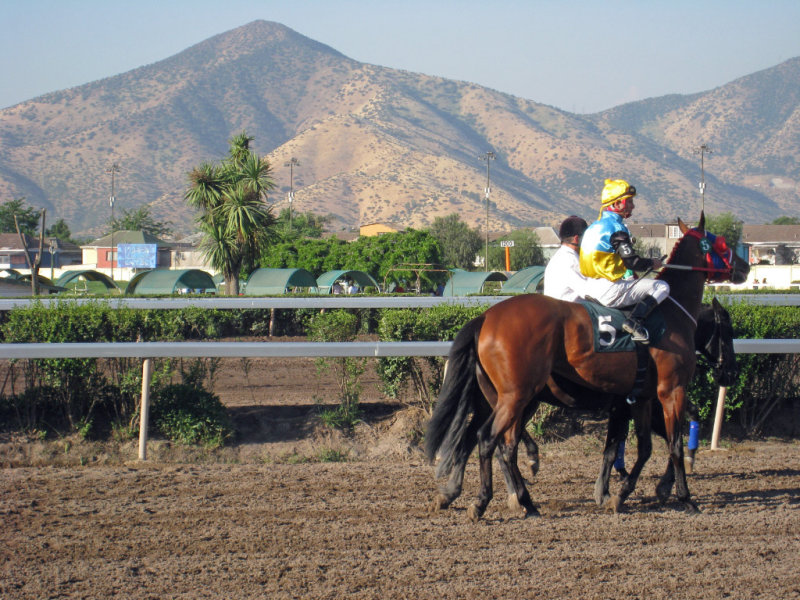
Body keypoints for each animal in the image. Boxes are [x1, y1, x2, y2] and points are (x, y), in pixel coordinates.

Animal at [428, 216, 748, 520]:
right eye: (721, 244)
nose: (744, 266)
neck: (671, 315)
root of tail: (486, 317)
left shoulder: (639, 399)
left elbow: (638, 447)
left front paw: (619, 494)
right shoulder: (670, 391)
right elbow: (672, 444)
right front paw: (683, 497)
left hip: (503, 397)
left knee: (491, 442)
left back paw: (507, 499)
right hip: (517, 396)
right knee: (489, 440)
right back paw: (486, 500)